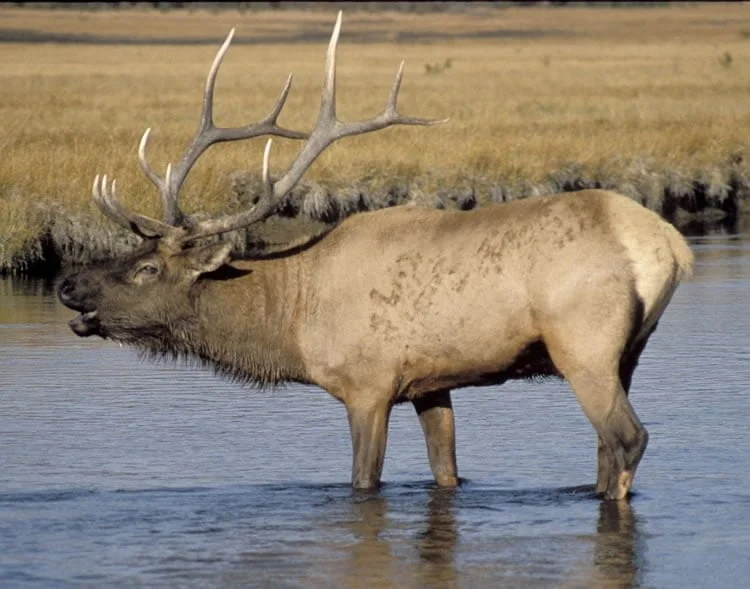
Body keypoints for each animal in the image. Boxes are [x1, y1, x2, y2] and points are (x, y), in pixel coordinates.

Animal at [57, 11, 694, 501]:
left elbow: (364, 482)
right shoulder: (431, 382)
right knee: (605, 447)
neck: (293, 321)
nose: (67, 284)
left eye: (147, 268)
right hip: (630, 351)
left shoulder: (367, 384)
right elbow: (446, 473)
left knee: (626, 438)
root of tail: (670, 245)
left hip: (582, 343)